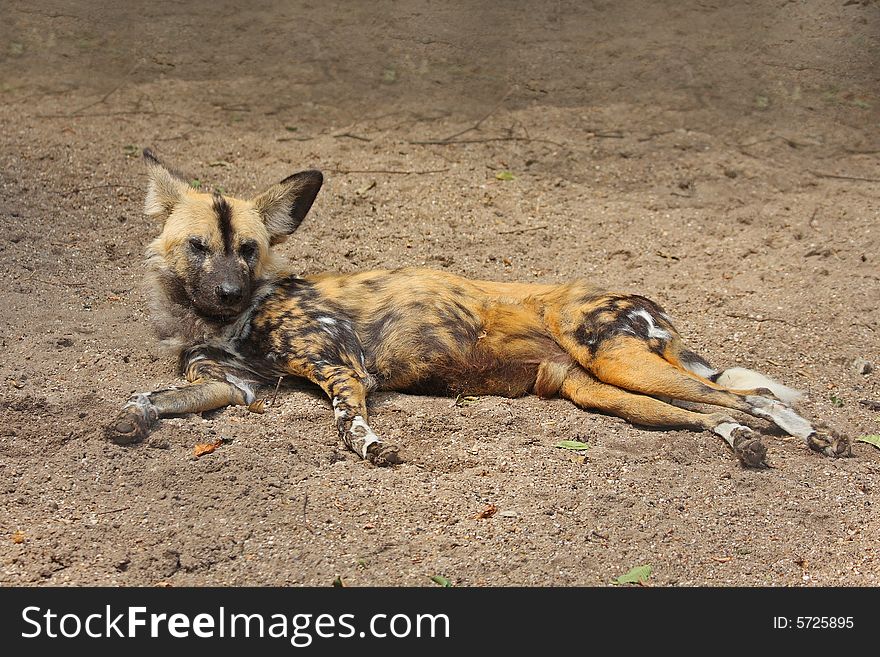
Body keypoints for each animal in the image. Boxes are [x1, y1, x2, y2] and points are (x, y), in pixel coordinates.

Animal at [105, 149, 852, 466]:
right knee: (710, 415)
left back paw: (815, 437)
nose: (230, 292)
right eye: (199, 247)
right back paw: (755, 444)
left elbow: (346, 423)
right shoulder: (234, 388)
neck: (222, 323)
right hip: (608, 392)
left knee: (744, 398)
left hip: (622, 363)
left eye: (249, 250)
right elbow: (150, 395)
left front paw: (371, 447)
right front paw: (129, 420)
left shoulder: (342, 369)